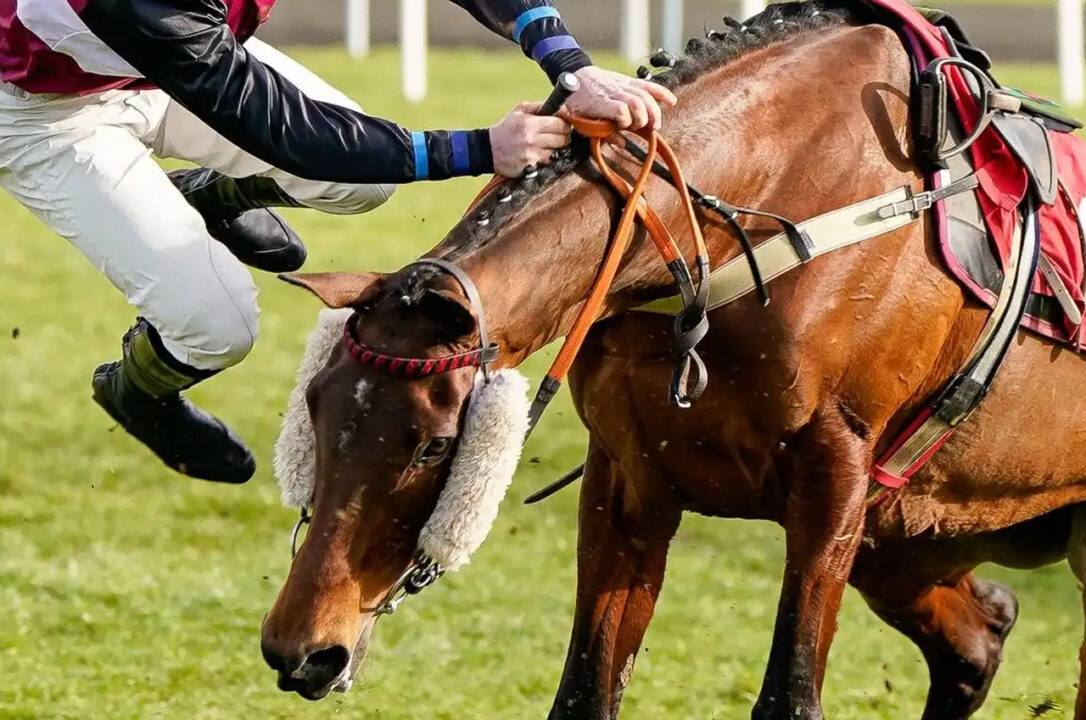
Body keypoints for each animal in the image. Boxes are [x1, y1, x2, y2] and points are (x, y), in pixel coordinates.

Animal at [258, 3, 1086, 718]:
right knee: (979, 638)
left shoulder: (835, 479)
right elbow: (584, 692)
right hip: (911, 536)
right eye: (315, 413)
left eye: (433, 446)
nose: (301, 650)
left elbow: (789, 696)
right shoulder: (632, 473)